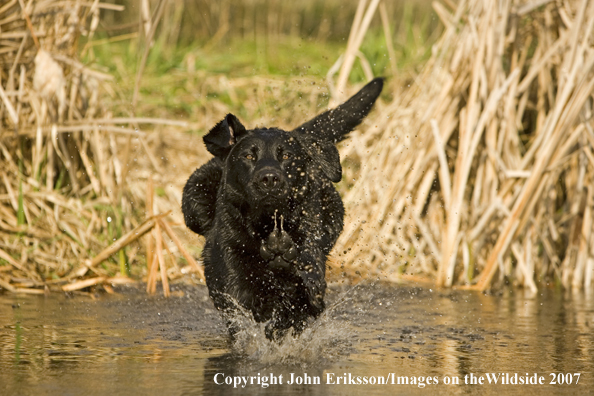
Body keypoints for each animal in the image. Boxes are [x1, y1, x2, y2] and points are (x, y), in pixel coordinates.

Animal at [182, 78, 384, 340]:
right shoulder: (232, 278)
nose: (269, 178)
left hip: (333, 214)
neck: (268, 225)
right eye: (248, 156)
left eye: (287, 156)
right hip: (193, 200)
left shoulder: (310, 276)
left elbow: (305, 290)